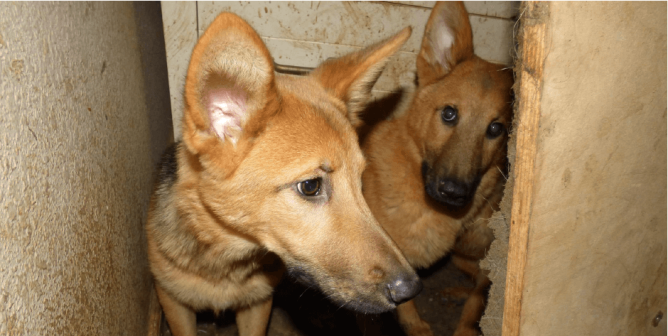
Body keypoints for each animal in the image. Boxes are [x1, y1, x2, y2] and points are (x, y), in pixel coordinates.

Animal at [145, 11, 422, 336]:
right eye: (311, 186)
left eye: (360, 180)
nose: (410, 290)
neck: (228, 260)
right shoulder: (173, 303)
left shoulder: (258, 304)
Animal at [360, 3, 512, 336]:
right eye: (449, 113)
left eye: (496, 129)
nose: (453, 192)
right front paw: (414, 324)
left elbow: (478, 299)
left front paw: (465, 326)